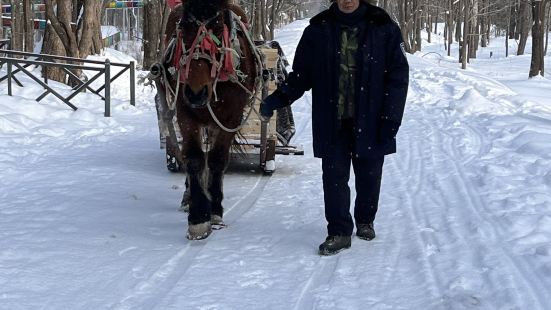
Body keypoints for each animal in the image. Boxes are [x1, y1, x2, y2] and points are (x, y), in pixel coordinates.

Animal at [160, 0, 260, 240]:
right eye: (184, 27)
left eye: (216, 26)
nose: (197, 93)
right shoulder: (185, 112)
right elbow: (194, 158)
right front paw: (198, 217)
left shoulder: (232, 116)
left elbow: (217, 159)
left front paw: (214, 210)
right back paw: (188, 196)